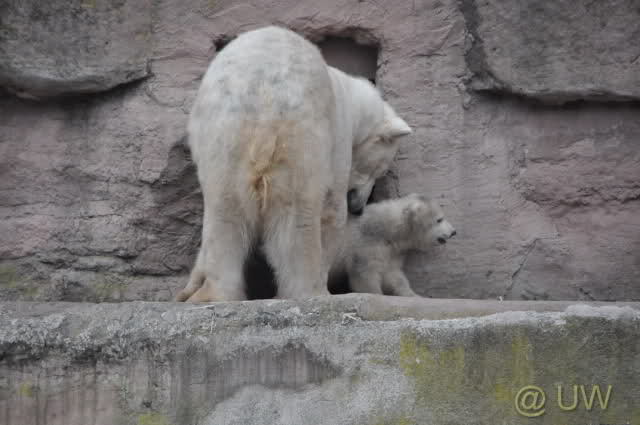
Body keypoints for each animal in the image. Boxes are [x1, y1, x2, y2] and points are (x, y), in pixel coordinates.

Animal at [175, 26, 411, 302]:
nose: (359, 207)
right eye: (379, 169)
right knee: (299, 215)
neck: (355, 103)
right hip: (301, 135)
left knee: (224, 209)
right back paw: (309, 290)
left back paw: (212, 294)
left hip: (222, 134)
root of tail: (263, 89)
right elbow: (331, 209)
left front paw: (188, 288)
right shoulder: (339, 134)